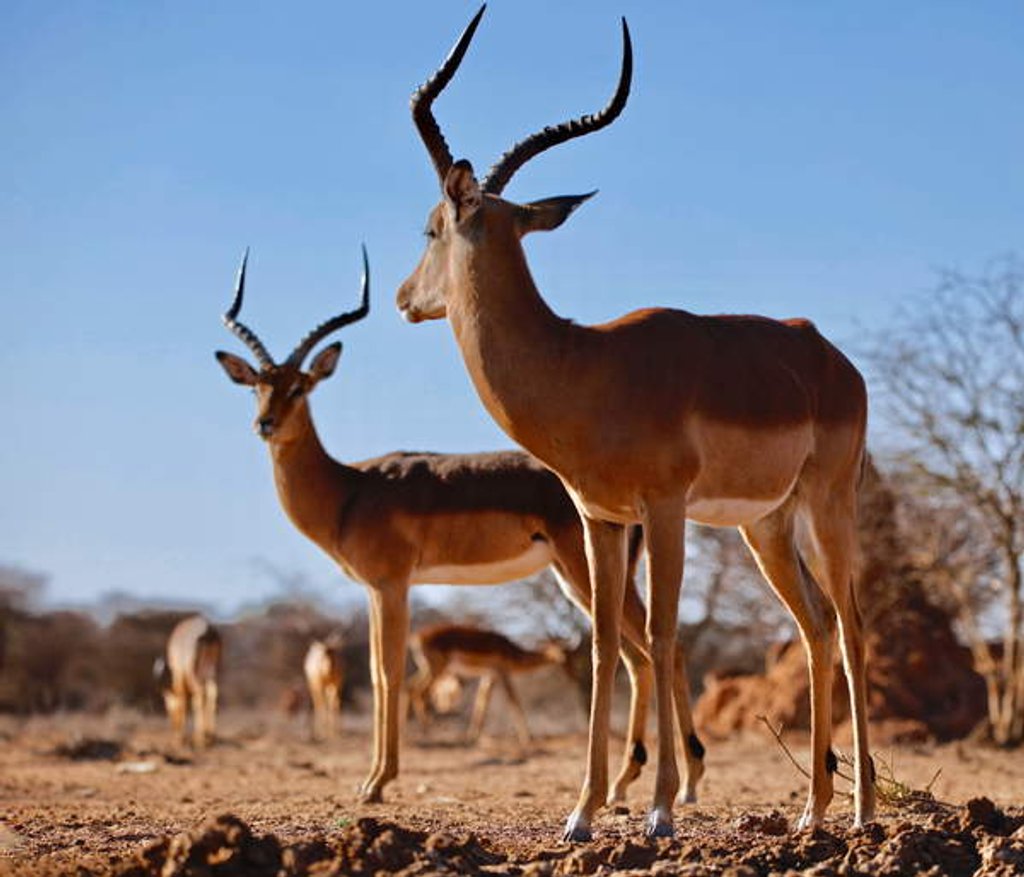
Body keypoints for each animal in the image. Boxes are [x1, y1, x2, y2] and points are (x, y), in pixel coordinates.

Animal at [159, 615, 222, 747]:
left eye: (168, 709)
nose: (173, 725)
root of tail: (207, 630)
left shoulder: (179, 675)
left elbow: (182, 699)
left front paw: (178, 739)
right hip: (210, 671)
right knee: (212, 692)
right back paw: (209, 734)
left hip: (193, 675)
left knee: (198, 696)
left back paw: (199, 739)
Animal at [409, 622, 568, 745]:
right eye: (553, 646)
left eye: (563, 647)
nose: (563, 658)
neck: (512, 651)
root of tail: (417, 636)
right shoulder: (503, 673)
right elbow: (513, 700)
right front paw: (527, 737)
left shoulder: (490, 676)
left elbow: (482, 702)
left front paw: (473, 736)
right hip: (437, 669)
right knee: (418, 691)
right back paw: (426, 730)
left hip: (428, 669)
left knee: (409, 686)